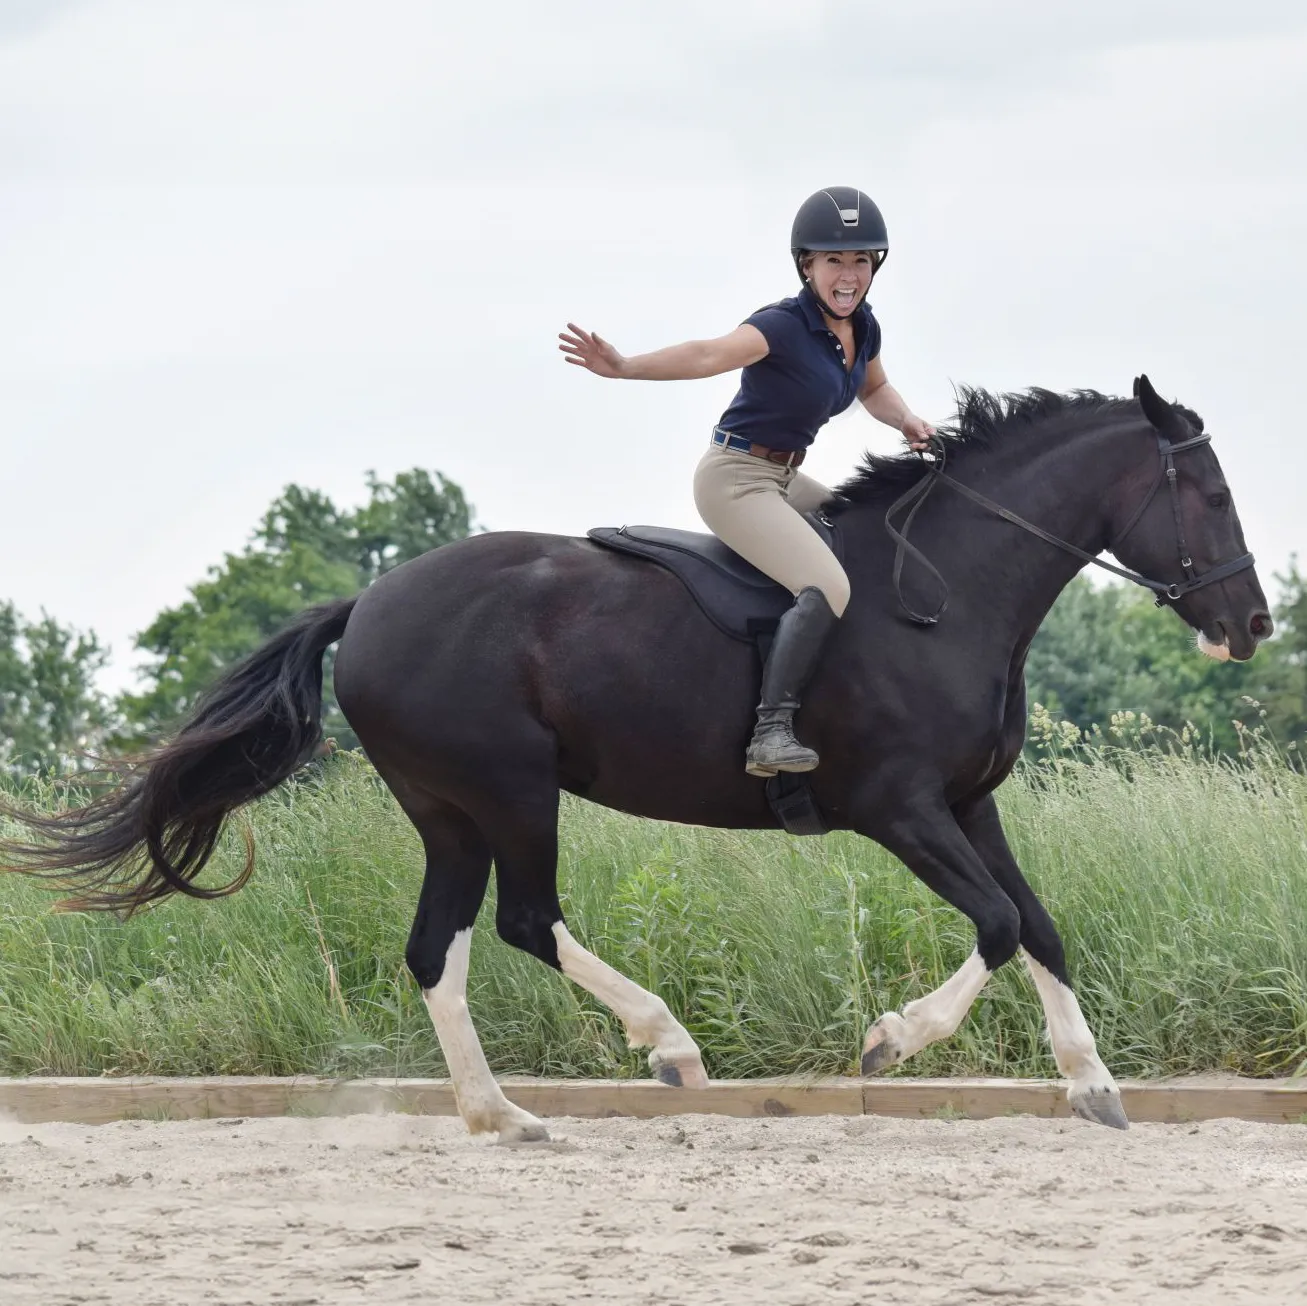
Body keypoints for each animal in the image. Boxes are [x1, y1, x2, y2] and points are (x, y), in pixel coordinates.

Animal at [0, 379, 1265, 1145]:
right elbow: (998, 924)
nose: (1248, 624)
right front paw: (889, 1039)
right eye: (1206, 493)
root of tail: (368, 601)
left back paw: (503, 1117)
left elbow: (1037, 924)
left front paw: (1092, 1084)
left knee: (436, 947)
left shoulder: (969, 803)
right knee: (524, 920)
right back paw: (666, 1045)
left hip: (449, 810)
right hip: (510, 790)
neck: (944, 593)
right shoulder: (899, 805)